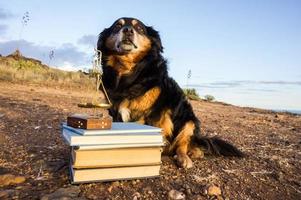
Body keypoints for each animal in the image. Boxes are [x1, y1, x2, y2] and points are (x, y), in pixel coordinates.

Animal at [97, 17, 243, 168]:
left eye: (140, 28)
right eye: (117, 26)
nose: (127, 30)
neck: (128, 72)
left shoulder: (155, 113)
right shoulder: (115, 111)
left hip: (189, 121)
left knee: (182, 145)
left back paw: (185, 157)